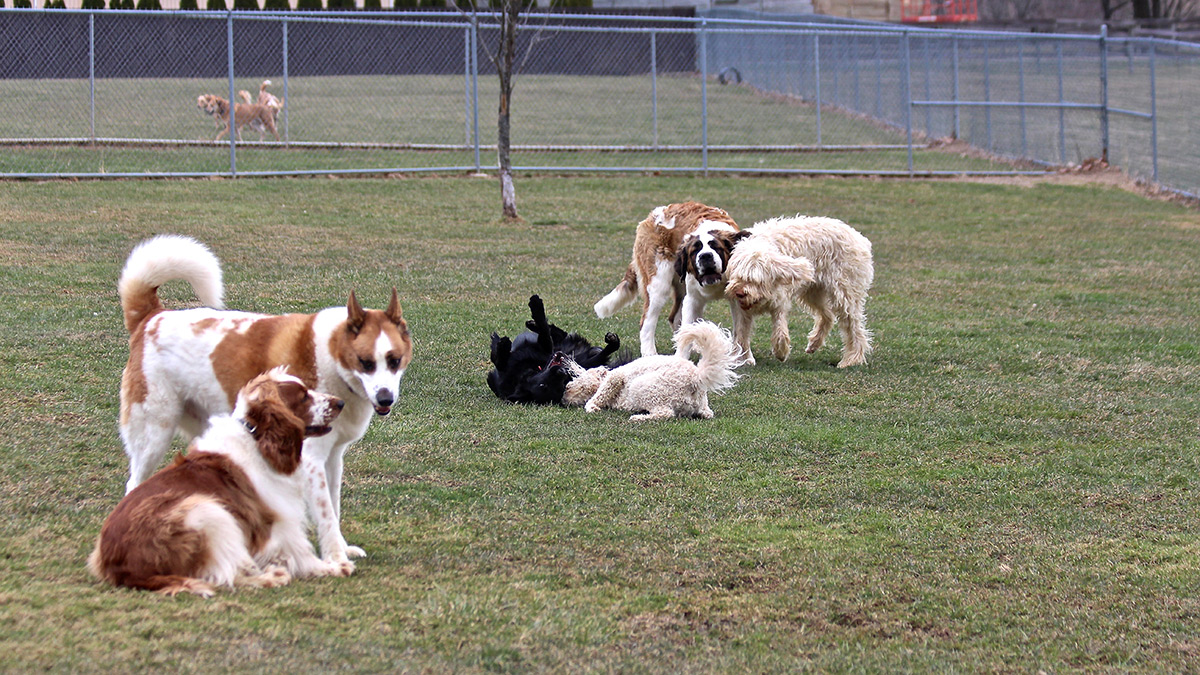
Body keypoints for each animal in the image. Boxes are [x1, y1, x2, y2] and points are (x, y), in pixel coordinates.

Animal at [117, 234, 415, 564]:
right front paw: (336, 557)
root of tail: (152, 316)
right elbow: (325, 514)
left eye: (394, 361)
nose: (386, 398)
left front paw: (341, 547)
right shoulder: (311, 460)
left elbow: (334, 508)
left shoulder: (333, 457)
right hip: (153, 434)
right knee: (134, 483)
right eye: (366, 363)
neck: (332, 355)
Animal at [561, 317, 739, 417]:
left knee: (665, 414)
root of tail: (697, 377)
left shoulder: (615, 377)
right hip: (698, 406)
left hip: (644, 388)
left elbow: (599, 395)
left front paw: (592, 406)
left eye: (574, 382)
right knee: (706, 414)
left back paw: (638, 418)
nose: (563, 397)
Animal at [592, 199, 748, 357]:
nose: (705, 256)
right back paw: (650, 354)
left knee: (675, 319)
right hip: (658, 285)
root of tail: (651, 216)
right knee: (646, 322)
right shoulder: (692, 299)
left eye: (716, 248)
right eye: (695, 251)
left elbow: (740, 332)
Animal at [720, 212, 873, 365]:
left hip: (845, 294)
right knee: (828, 315)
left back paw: (852, 358)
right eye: (737, 277)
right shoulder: (742, 311)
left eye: (755, 280)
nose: (739, 293)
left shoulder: (780, 302)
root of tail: (860, 238)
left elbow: (780, 330)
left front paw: (781, 352)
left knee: (854, 328)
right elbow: (741, 334)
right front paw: (741, 358)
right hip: (814, 292)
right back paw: (815, 343)